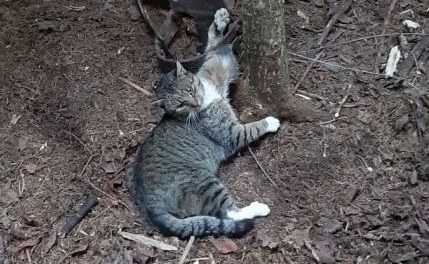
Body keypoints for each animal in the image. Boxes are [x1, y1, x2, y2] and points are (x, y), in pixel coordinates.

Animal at [134, 8, 280, 239]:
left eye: (190, 90)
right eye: (181, 104)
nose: (195, 103)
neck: (207, 95)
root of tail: (150, 206)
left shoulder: (215, 62)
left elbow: (213, 45)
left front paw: (219, 21)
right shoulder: (230, 133)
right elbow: (252, 129)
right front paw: (270, 121)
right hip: (205, 184)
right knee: (228, 213)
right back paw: (256, 209)